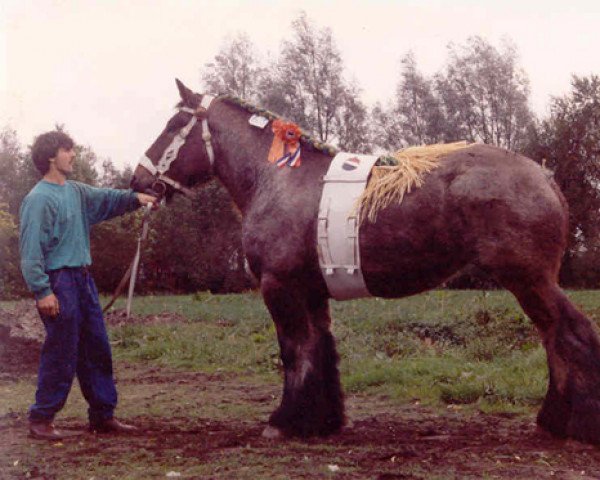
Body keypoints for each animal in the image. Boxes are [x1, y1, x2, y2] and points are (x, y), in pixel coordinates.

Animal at [130, 79, 600, 442]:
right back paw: (554, 420)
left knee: (569, 334)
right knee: (554, 337)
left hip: (529, 279)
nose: (139, 181)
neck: (278, 177)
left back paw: (570, 424)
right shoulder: (312, 292)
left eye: (174, 125)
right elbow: (321, 350)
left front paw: (284, 423)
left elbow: (294, 352)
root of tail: (543, 175)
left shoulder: (279, 286)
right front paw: (322, 422)